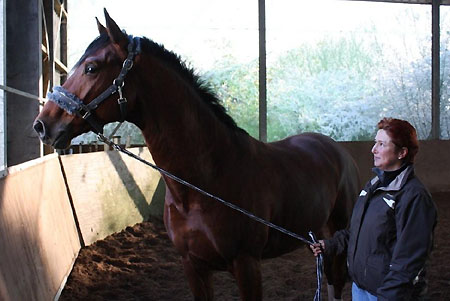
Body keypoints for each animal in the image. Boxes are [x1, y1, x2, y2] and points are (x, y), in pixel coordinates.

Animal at [33, 9, 360, 300]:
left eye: (91, 67)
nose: (42, 125)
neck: (204, 184)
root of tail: (337, 150)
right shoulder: (193, 267)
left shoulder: (247, 265)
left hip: (337, 232)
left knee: (337, 280)